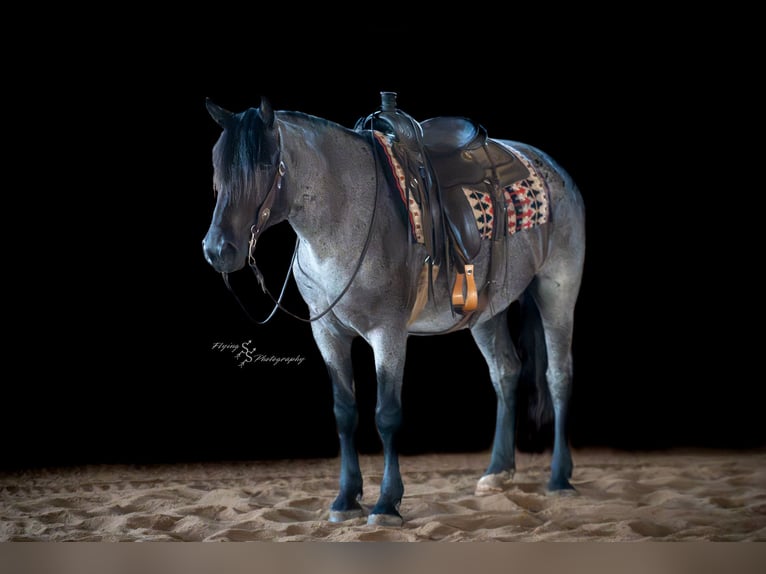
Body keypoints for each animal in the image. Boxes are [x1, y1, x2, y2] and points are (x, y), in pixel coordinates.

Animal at [202, 95, 586, 527]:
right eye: (217, 166)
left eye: (266, 165)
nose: (217, 249)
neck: (343, 218)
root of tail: (549, 165)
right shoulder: (328, 333)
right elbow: (344, 412)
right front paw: (345, 499)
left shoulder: (388, 333)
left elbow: (386, 414)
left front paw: (387, 503)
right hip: (486, 311)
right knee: (505, 372)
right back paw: (497, 472)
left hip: (558, 290)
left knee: (558, 375)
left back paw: (560, 478)